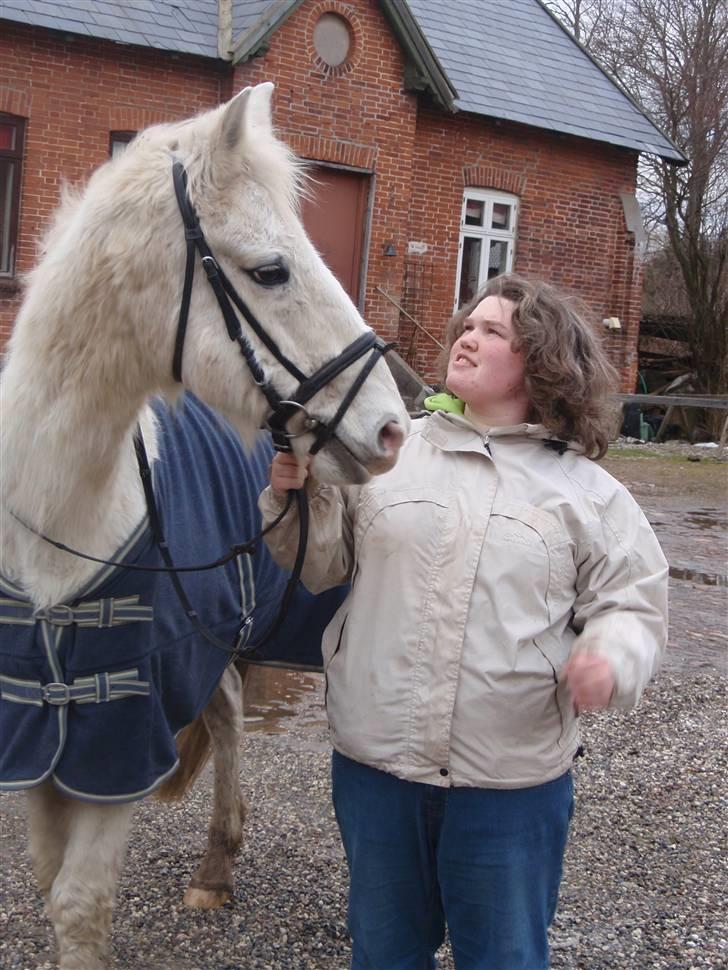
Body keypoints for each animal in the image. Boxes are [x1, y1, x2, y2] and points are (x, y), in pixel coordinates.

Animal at [0, 85, 406, 968]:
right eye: (271, 270)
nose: (392, 430)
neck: (53, 527)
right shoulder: (46, 744)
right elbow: (49, 880)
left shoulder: (119, 741)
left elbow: (78, 903)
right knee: (225, 712)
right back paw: (216, 868)